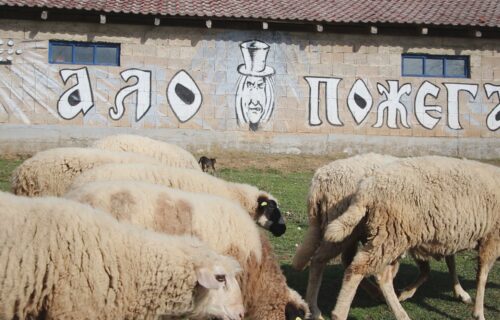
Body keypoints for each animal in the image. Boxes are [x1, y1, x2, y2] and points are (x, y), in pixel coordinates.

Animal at [292, 154, 470, 318]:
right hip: (345, 229)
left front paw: (459, 292)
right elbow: (439, 265)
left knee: (345, 260)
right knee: (328, 261)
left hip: (341, 228)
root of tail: (318, 181)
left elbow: (446, 263)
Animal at [322, 157, 498, 320]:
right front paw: (479, 313)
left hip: (389, 237)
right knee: (357, 269)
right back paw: (340, 313)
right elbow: (481, 277)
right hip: (391, 234)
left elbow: (444, 265)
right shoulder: (492, 238)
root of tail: (366, 189)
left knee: (379, 275)